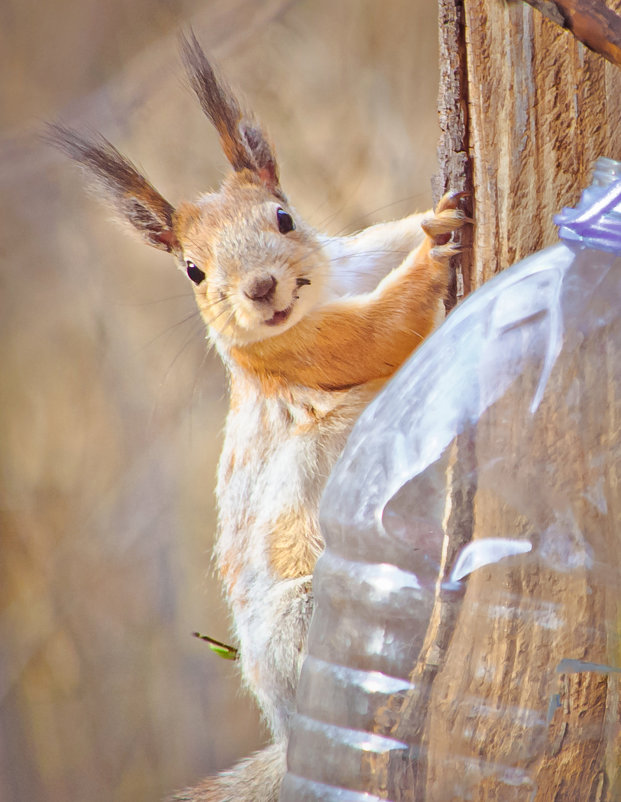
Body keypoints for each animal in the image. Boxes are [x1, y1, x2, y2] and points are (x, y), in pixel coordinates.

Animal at [50, 29, 468, 800]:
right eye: (191, 270)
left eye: (284, 215)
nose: (261, 288)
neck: (323, 294)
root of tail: (283, 726)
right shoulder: (298, 353)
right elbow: (382, 332)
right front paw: (438, 247)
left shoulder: (357, 257)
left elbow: (385, 245)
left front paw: (431, 216)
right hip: (313, 611)